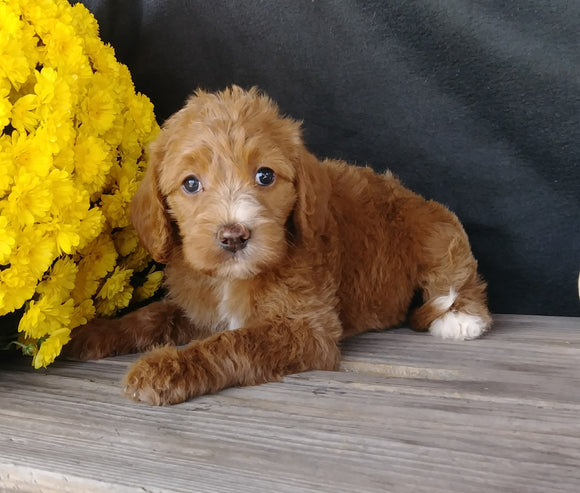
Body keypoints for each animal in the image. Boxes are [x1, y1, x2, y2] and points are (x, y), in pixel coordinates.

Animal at [65, 86, 492, 406]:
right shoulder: (199, 307)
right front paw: (93, 333)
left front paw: (165, 368)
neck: (232, 280)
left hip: (437, 232)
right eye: (191, 183)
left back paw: (461, 319)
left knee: (461, 275)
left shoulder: (307, 327)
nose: (234, 236)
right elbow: (153, 316)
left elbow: (233, 341)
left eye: (265, 176)